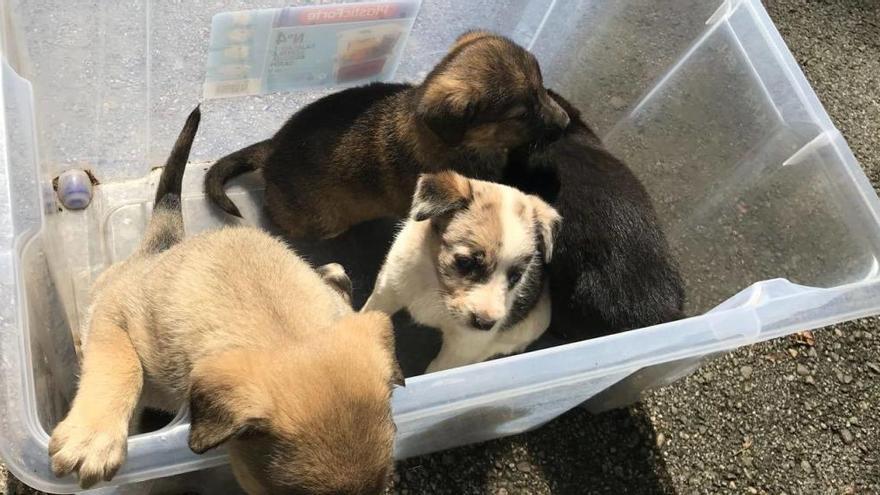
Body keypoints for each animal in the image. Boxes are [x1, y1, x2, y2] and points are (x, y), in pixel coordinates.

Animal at [362, 170, 556, 372]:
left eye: (516, 277)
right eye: (465, 262)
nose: (485, 324)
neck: (434, 284)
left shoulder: (462, 347)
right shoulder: (386, 292)